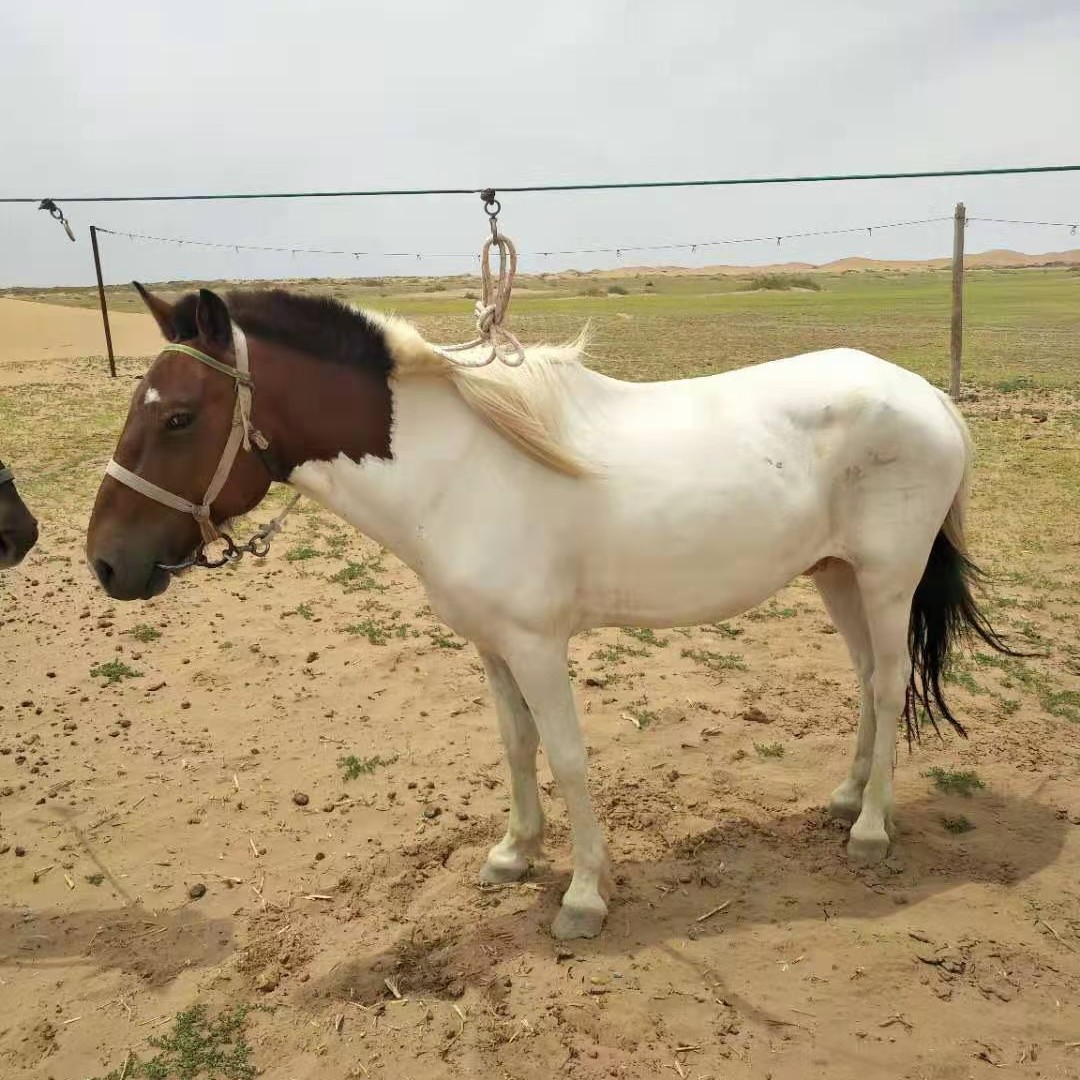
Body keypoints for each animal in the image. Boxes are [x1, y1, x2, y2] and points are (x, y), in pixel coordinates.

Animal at [85, 283, 1015, 940]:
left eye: (179, 417)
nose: (105, 562)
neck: (460, 467)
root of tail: (929, 398)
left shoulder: (537, 647)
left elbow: (567, 757)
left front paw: (584, 895)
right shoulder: (493, 647)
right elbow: (516, 744)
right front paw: (514, 853)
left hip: (888, 579)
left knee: (889, 683)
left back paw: (871, 830)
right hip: (836, 576)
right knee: (865, 681)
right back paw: (846, 796)